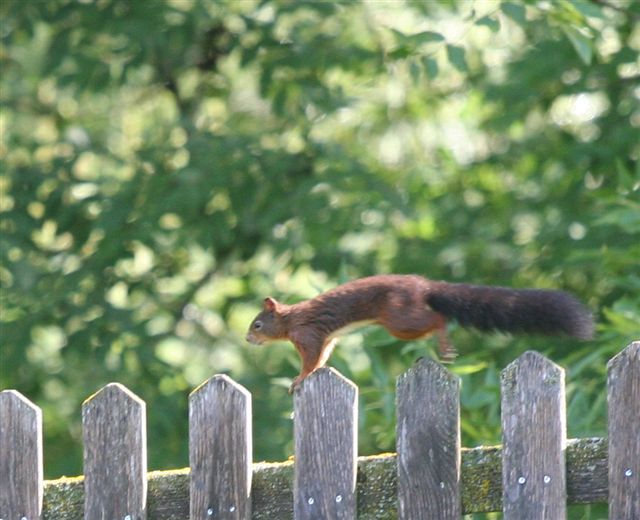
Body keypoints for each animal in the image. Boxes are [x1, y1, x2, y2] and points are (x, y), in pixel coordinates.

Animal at [242, 274, 592, 392]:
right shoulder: (326, 337)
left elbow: (310, 359)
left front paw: (300, 379)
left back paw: (445, 343)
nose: (247, 339)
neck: (289, 320)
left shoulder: (307, 334)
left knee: (438, 318)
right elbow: (323, 356)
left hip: (400, 320)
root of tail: (423, 286)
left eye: (257, 324)